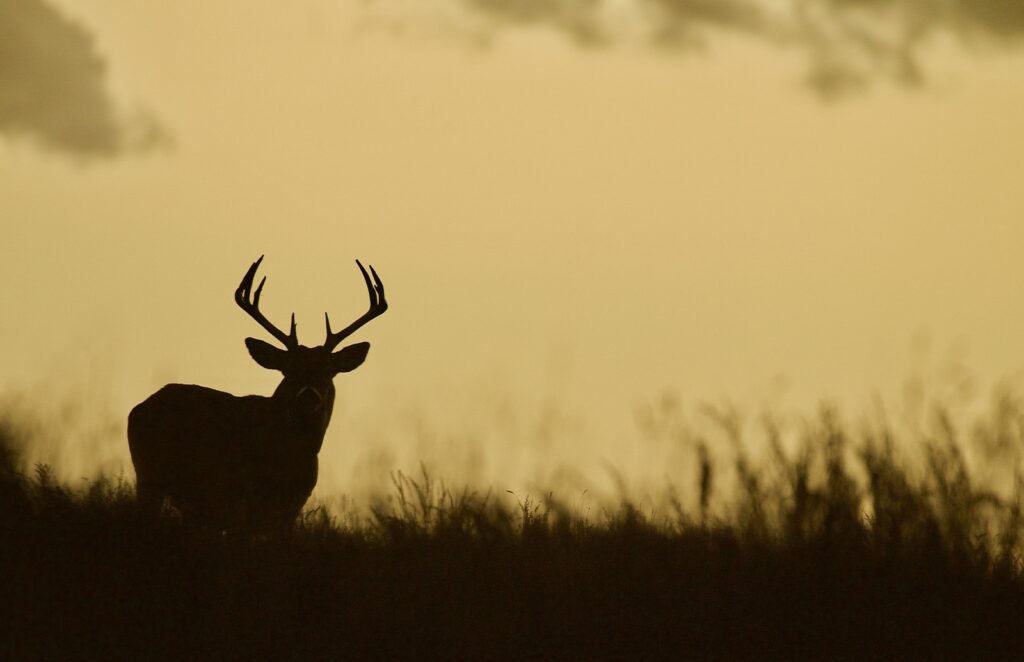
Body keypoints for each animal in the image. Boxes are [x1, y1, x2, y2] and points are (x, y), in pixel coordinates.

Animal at [128, 255, 385, 532]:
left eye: (328, 371)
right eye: (288, 369)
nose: (308, 396)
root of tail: (141, 407)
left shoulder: (290, 509)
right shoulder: (236, 502)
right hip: (150, 475)